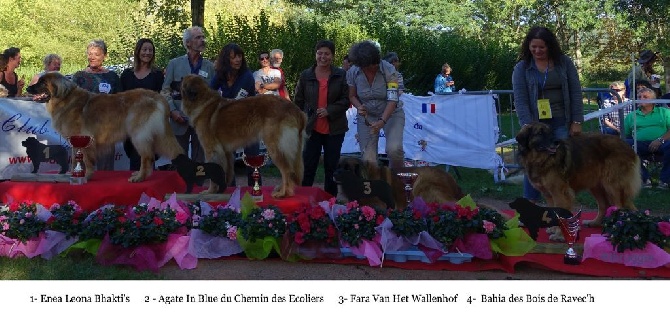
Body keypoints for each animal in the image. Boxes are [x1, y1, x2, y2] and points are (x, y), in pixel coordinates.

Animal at [25, 73, 184, 182]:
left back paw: (139, 177)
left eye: (42, 82)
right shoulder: (75, 140)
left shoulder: (85, 138)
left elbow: (87, 160)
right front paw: (74, 174)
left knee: (147, 157)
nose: (27, 87)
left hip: (139, 135)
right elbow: (76, 158)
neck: (64, 99)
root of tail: (158, 96)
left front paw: (86, 176)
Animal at [177, 74, 306, 198]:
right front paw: (222, 189)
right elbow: (227, 171)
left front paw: (210, 191)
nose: (173, 82)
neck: (202, 101)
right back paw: (281, 189)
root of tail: (297, 110)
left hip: (275, 147)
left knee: (287, 170)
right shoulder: (225, 151)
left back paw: (283, 193)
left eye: (181, 81)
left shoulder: (211, 150)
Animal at [516, 121, 644, 229]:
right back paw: (595, 222)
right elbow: (552, 212)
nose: (557, 142)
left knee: (619, 206)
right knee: (605, 205)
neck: (541, 160)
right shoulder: (548, 194)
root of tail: (628, 146)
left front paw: (558, 233)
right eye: (540, 133)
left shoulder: (559, 192)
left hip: (612, 186)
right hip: (596, 186)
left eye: (551, 132)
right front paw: (553, 229)